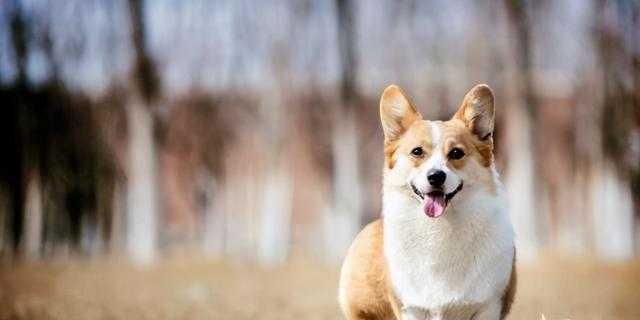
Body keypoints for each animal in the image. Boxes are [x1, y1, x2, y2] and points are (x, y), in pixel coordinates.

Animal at [340, 84, 516, 318]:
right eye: (417, 151)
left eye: (456, 153)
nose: (435, 177)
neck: (439, 228)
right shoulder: (411, 307)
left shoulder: (488, 306)